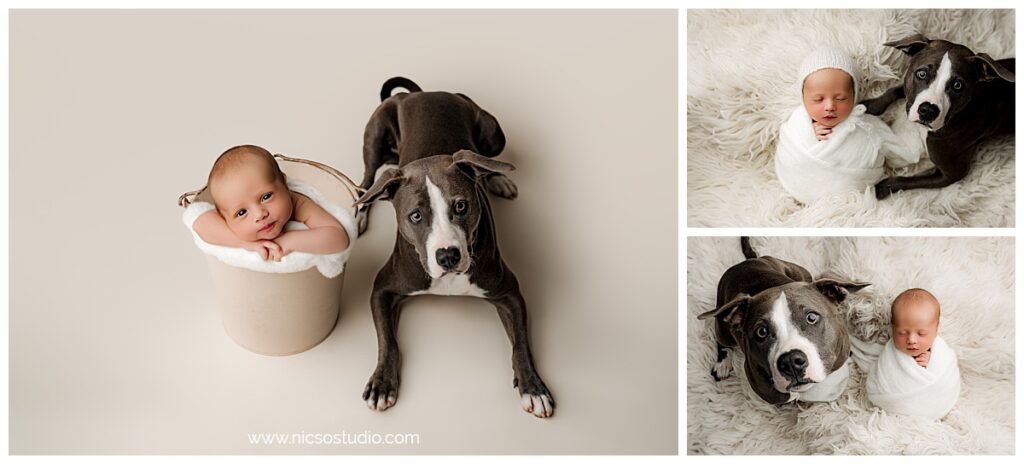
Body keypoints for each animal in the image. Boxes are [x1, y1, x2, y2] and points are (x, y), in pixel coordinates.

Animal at [356, 75, 557, 415]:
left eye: (461, 206)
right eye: (415, 215)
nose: (448, 255)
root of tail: (421, 93)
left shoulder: (510, 293)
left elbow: (521, 344)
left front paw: (533, 387)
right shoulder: (382, 287)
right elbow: (387, 341)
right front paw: (382, 383)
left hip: (493, 133)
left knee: (485, 161)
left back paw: (497, 177)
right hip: (375, 135)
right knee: (369, 179)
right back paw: (360, 209)